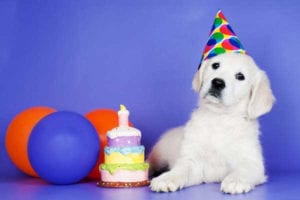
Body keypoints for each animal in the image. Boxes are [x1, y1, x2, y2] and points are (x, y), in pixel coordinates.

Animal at [149, 53, 276, 194]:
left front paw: (235, 181)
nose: (218, 82)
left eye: (240, 76)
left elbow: (244, 169)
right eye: (215, 65)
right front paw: (167, 178)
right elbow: (181, 169)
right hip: (159, 154)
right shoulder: (192, 161)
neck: (219, 117)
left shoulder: (252, 161)